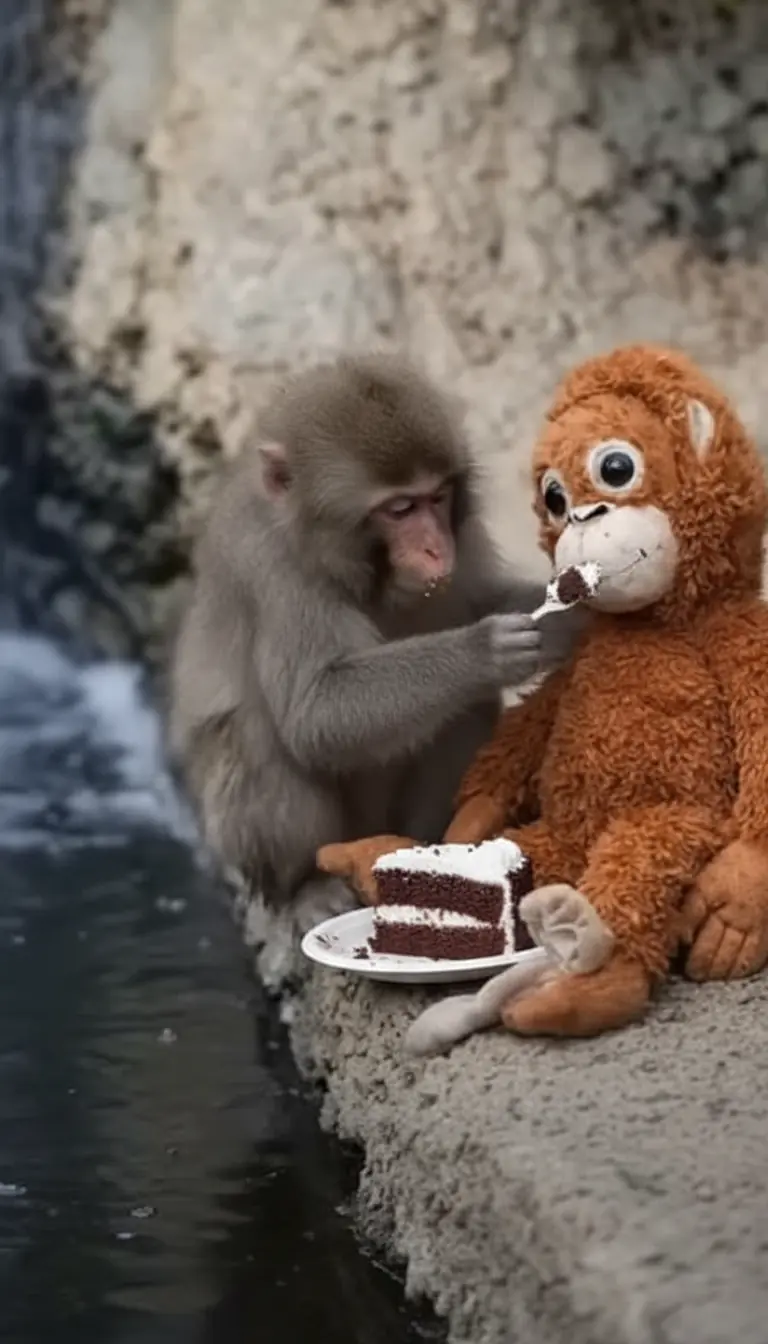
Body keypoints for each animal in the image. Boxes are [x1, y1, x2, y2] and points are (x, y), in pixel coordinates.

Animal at [168, 353, 582, 988]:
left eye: (437, 497)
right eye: (399, 508)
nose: (436, 549)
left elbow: (479, 596)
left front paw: (563, 616)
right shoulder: (273, 569)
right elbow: (315, 713)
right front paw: (484, 649)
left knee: (461, 708)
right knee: (260, 741)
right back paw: (306, 886)